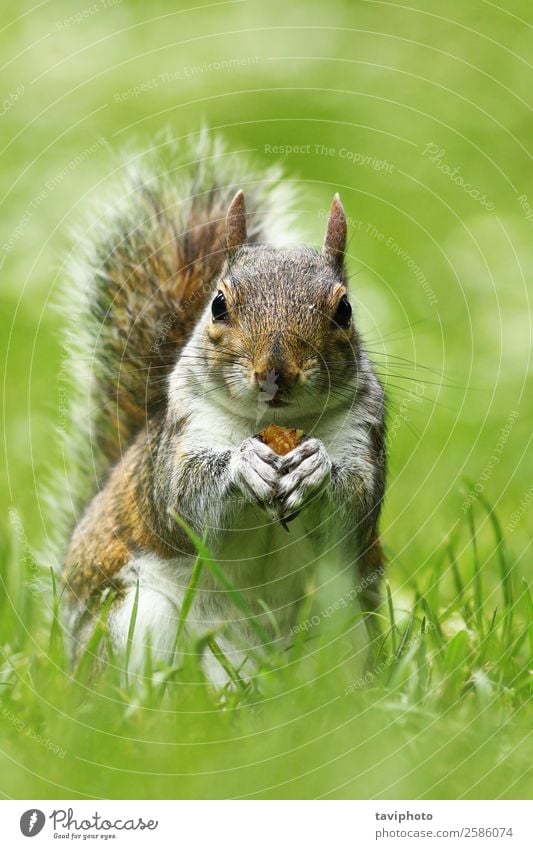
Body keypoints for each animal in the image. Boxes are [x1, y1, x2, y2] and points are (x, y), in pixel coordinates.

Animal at [62, 134, 386, 684]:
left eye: (344, 309)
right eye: (218, 305)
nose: (276, 373)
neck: (275, 424)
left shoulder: (366, 436)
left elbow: (356, 507)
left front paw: (315, 467)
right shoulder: (178, 439)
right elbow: (182, 500)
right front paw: (243, 465)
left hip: (342, 619)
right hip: (136, 615)